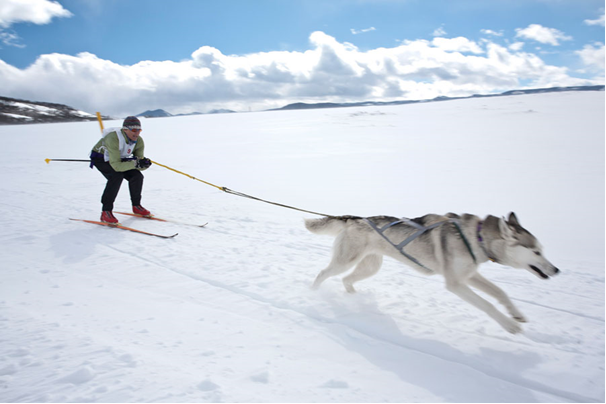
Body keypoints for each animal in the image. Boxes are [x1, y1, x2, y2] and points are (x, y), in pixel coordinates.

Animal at [306, 211, 564, 334]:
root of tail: (355, 218)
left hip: (370, 266)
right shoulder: (456, 283)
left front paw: (516, 315)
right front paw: (510, 325)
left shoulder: (469, 275)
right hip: (345, 261)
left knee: (346, 279)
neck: (477, 238)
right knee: (322, 274)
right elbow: (487, 304)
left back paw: (353, 297)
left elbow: (500, 293)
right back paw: (313, 294)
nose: (556, 270)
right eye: (536, 251)